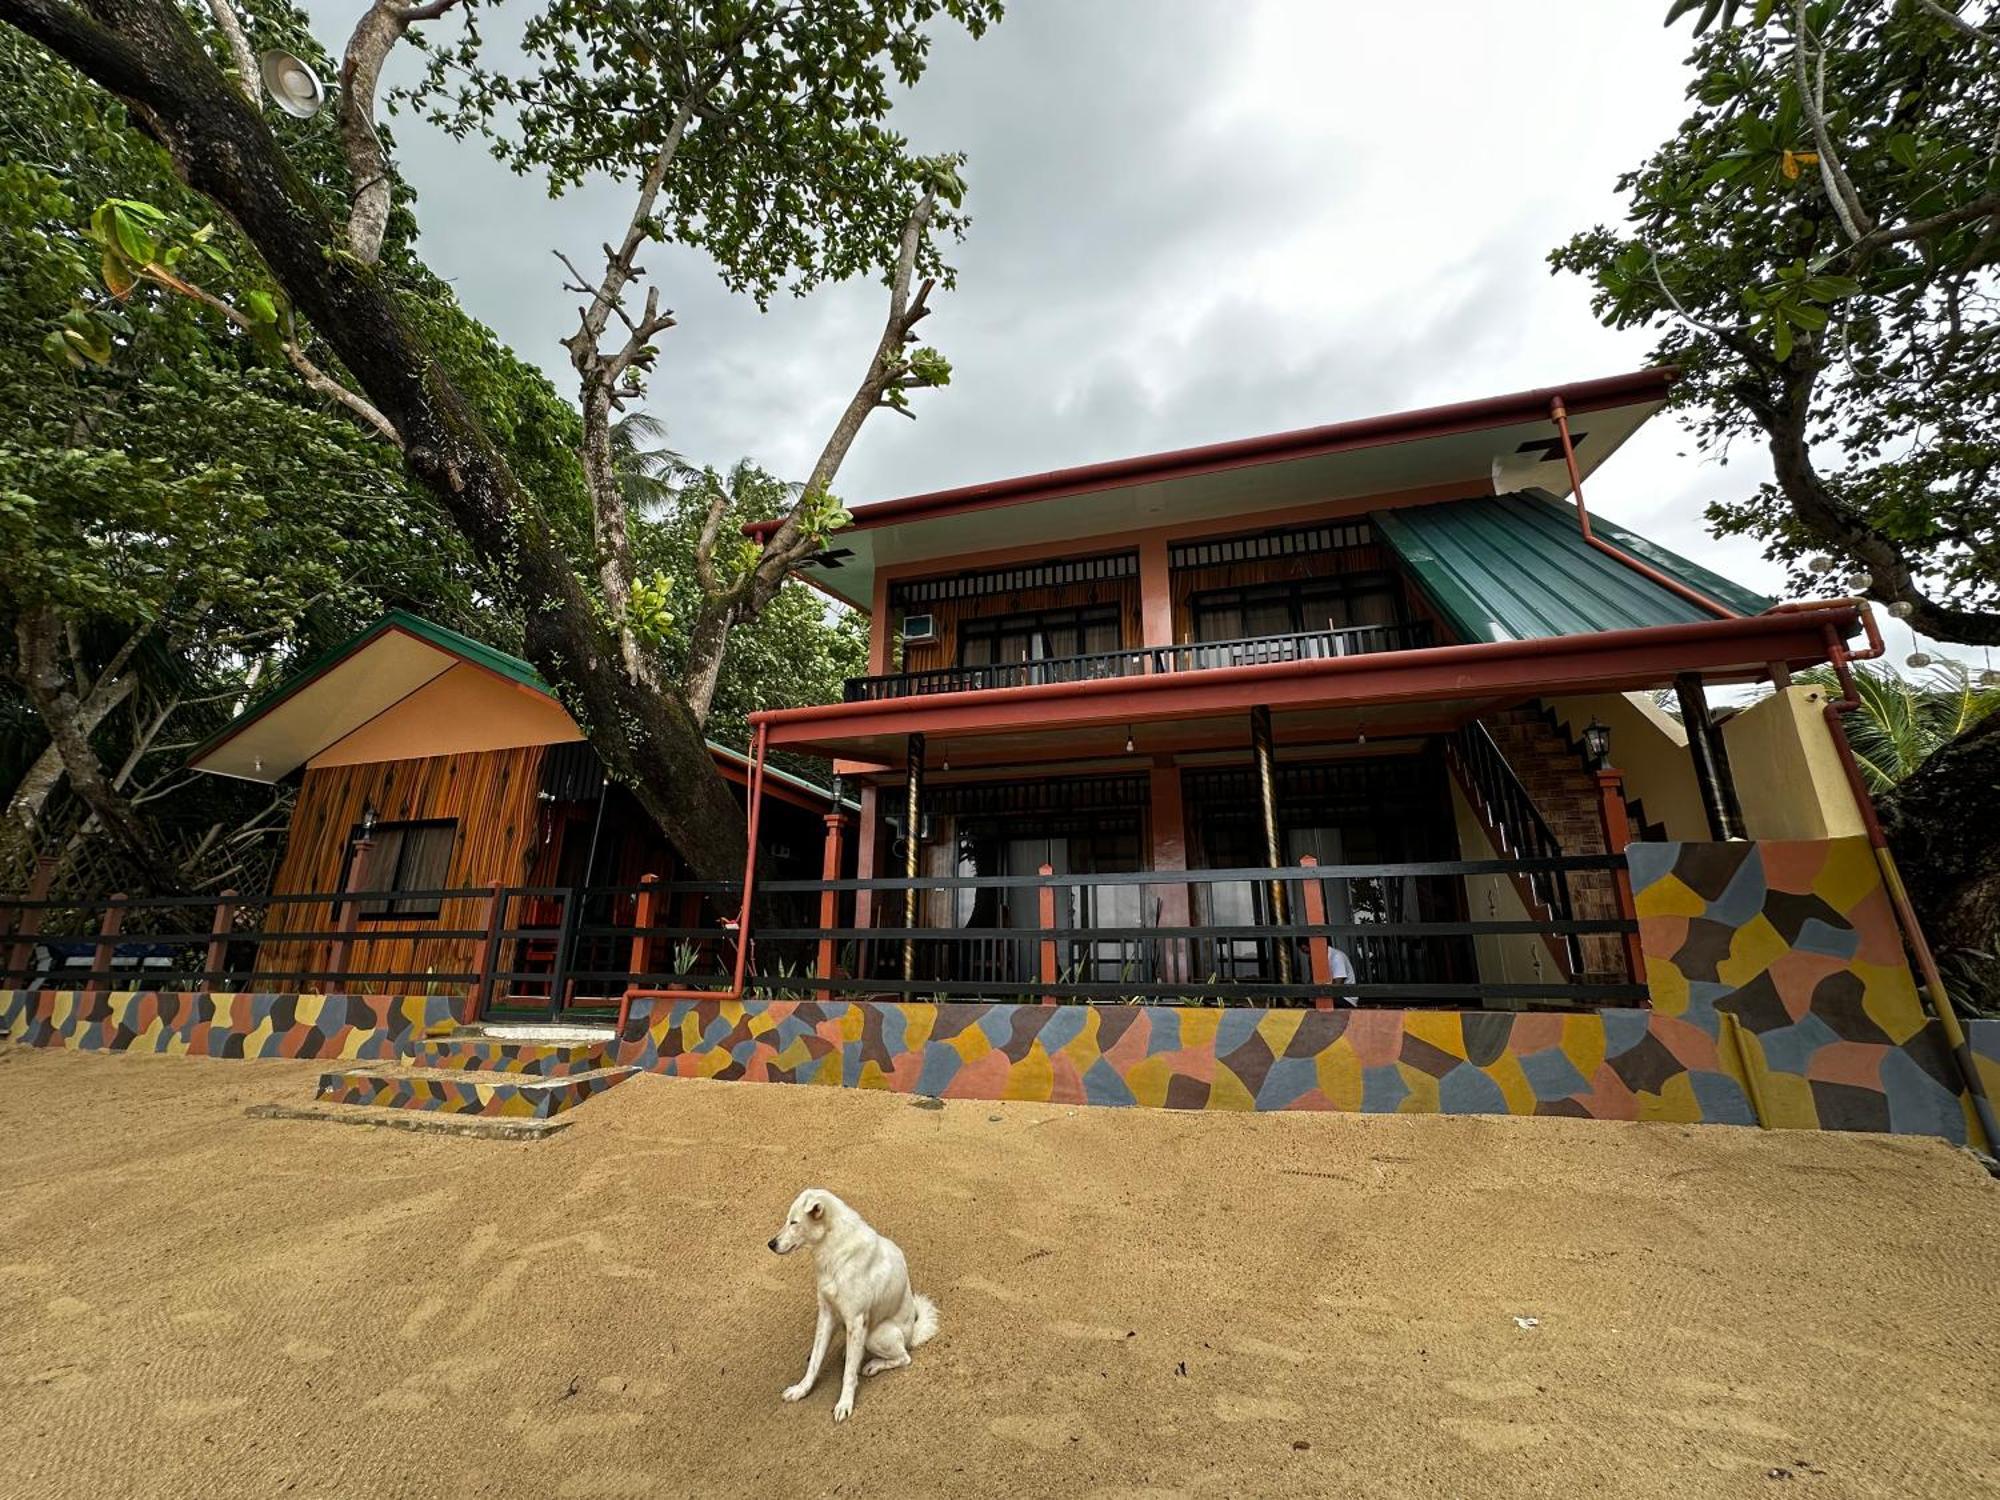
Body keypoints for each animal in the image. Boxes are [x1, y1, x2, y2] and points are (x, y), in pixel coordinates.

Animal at [772, 1192, 944, 1424]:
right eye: (787, 1220)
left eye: (794, 1222)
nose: (771, 1244)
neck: (833, 1248)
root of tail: (912, 1335)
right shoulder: (826, 1314)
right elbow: (815, 1360)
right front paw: (801, 1389)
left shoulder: (856, 1319)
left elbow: (848, 1374)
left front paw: (844, 1403)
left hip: (876, 1335)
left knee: (903, 1357)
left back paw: (874, 1364)